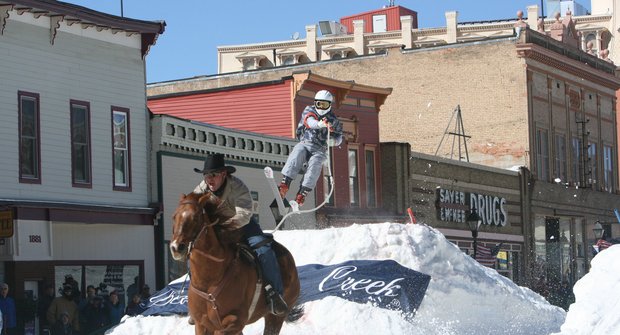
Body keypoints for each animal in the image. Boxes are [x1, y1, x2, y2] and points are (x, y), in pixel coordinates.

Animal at [168, 192, 302, 335]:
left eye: (196, 217)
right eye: (174, 216)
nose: (176, 247)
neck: (209, 281)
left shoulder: (234, 322)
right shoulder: (201, 325)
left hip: (275, 317)